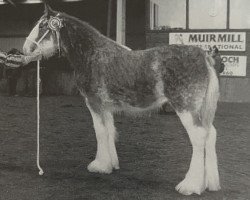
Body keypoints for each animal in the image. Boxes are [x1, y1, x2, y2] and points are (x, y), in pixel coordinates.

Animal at [22, 4, 220, 195]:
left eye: (42, 26)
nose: (25, 49)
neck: (92, 54)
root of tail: (204, 57)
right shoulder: (105, 107)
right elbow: (110, 131)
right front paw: (111, 164)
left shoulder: (94, 103)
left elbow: (100, 132)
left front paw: (99, 165)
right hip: (199, 110)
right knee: (210, 135)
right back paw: (210, 183)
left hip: (186, 108)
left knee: (199, 138)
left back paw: (190, 185)